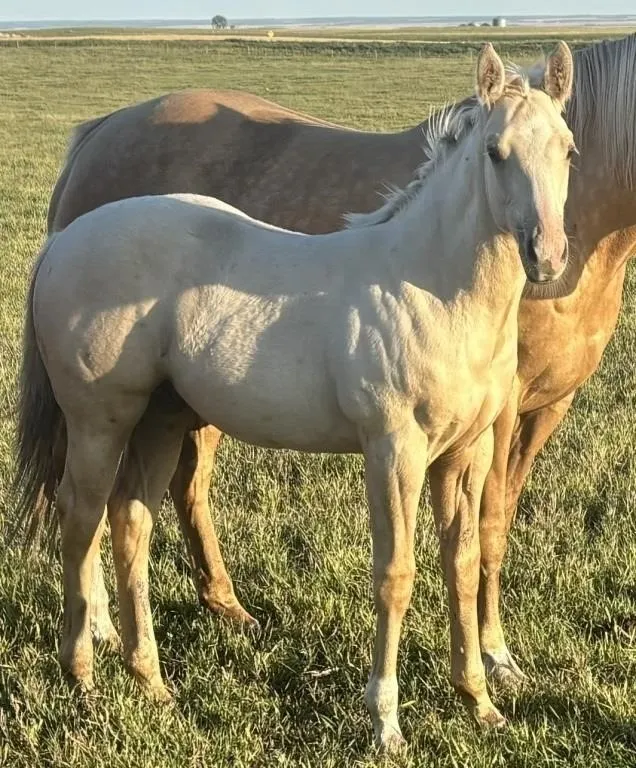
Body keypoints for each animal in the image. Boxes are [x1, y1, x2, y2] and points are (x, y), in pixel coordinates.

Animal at [15, 44, 574, 751]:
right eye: (496, 152)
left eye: (568, 150)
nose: (548, 257)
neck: (431, 287)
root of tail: (64, 240)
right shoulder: (393, 450)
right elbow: (395, 575)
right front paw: (386, 723)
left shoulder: (463, 452)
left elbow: (463, 561)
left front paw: (479, 701)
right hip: (99, 420)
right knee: (80, 518)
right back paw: (83, 675)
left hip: (159, 421)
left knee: (130, 520)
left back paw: (152, 683)